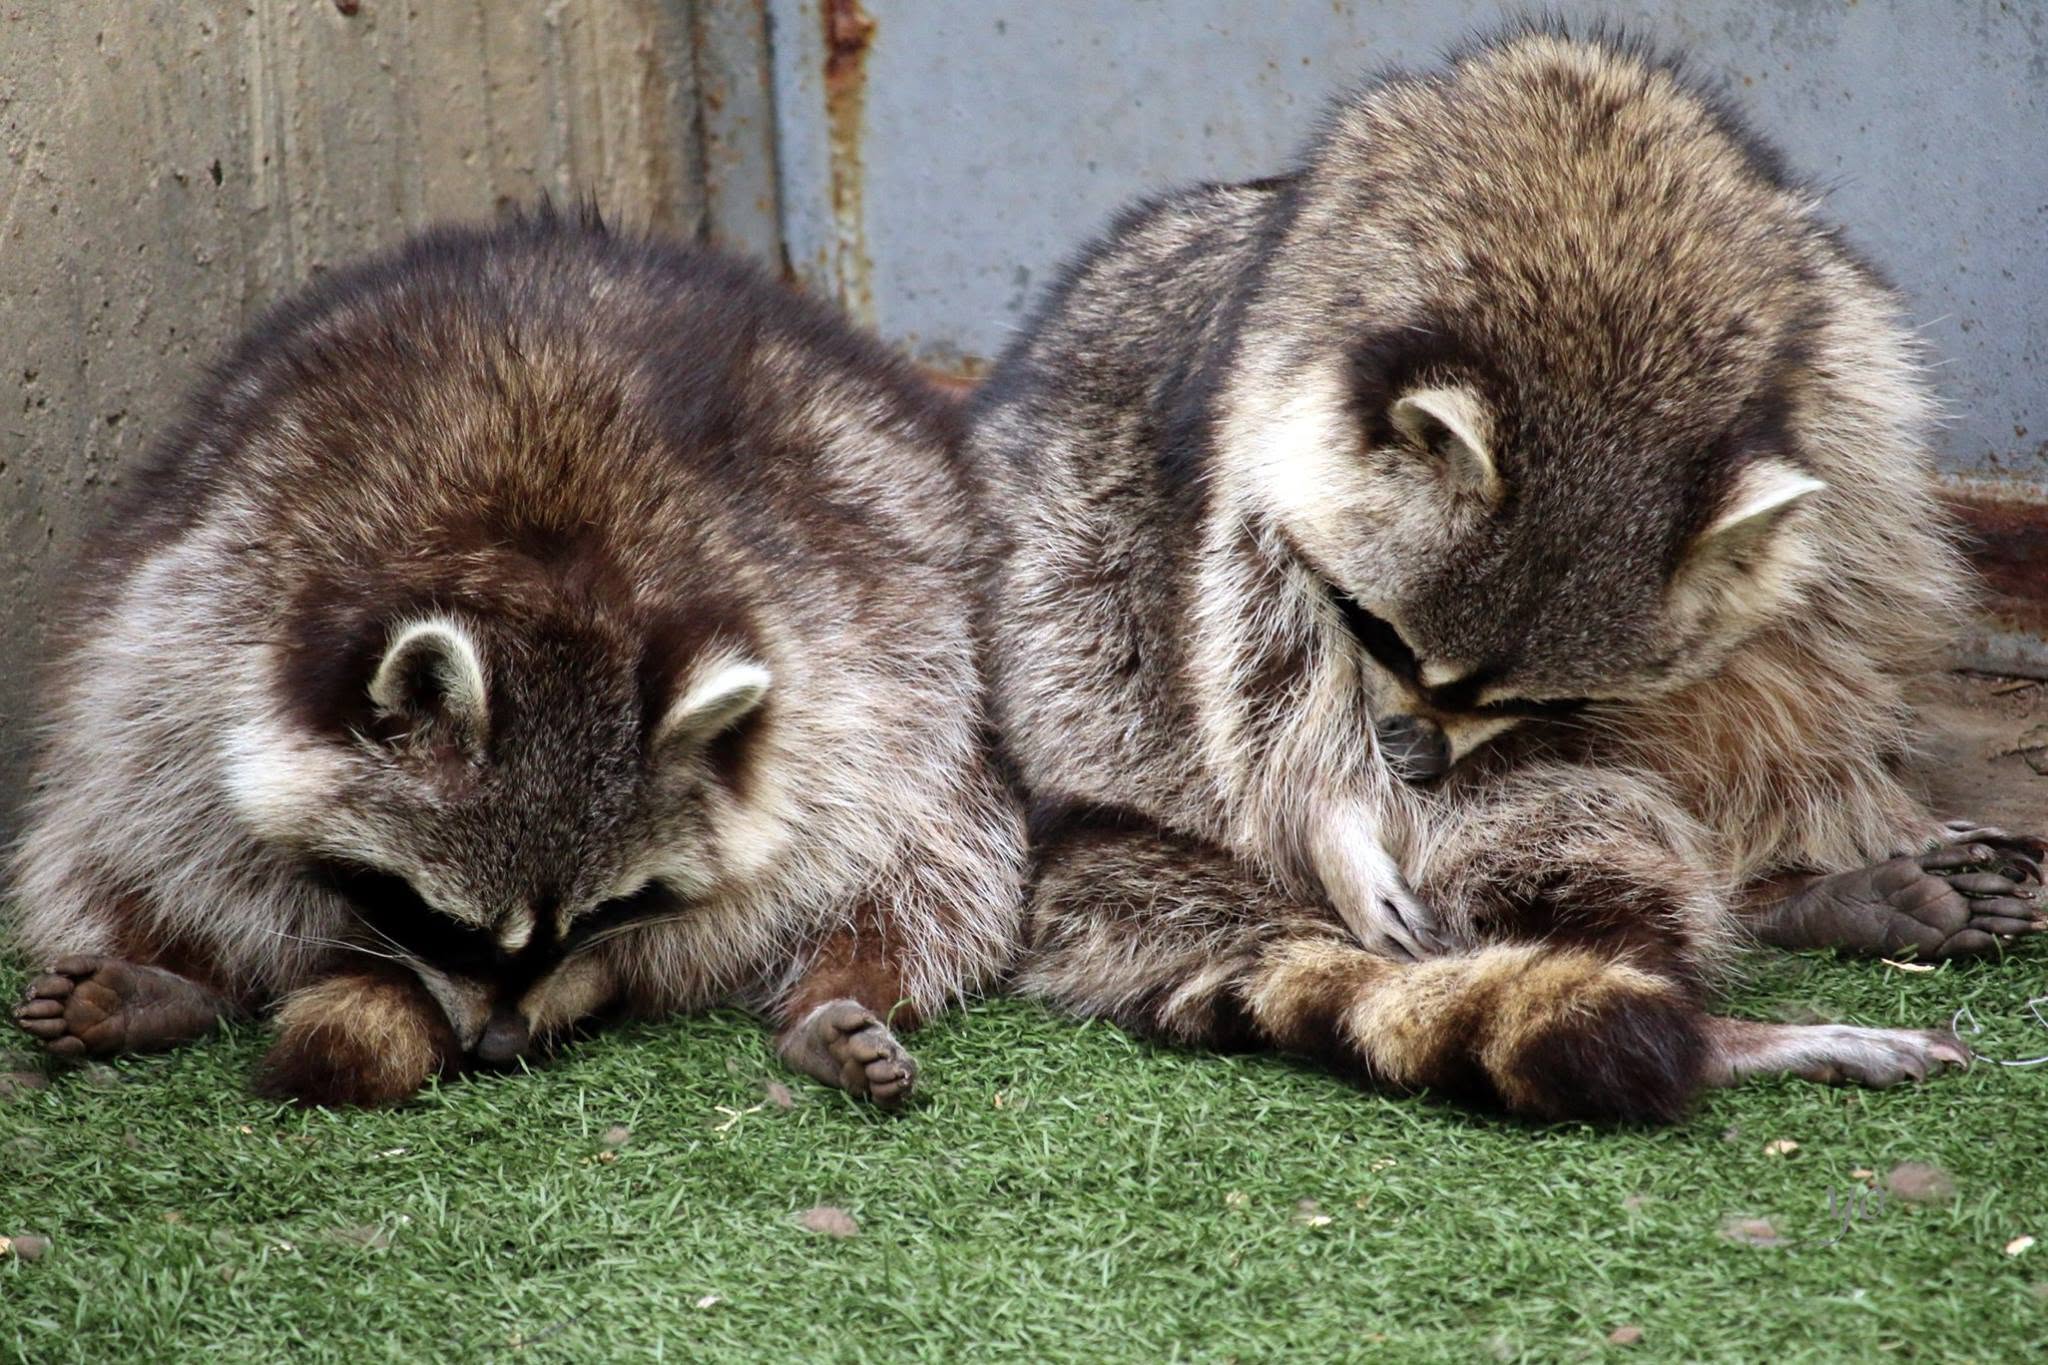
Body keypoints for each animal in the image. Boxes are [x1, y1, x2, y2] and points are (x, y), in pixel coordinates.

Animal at [10, 211, 1024, 1107]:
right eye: (447, 921)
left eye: (604, 913)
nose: (499, 1044)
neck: (542, 584)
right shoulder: (209, 601)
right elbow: (185, 809)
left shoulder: (848, 647)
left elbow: (839, 835)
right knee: (112, 834)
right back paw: (170, 973)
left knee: (937, 865)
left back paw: (840, 992)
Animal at [970, 30, 2043, 1124]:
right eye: (1384, 637)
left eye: (1547, 696)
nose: (1410, 760)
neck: (1589, 254)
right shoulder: (1269, 383)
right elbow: (1256, 642)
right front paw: (1335, 817)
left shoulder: (1836, 376)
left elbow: (1834, 622)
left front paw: (1857, 811)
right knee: (1555, 832)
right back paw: (1716, 1023)